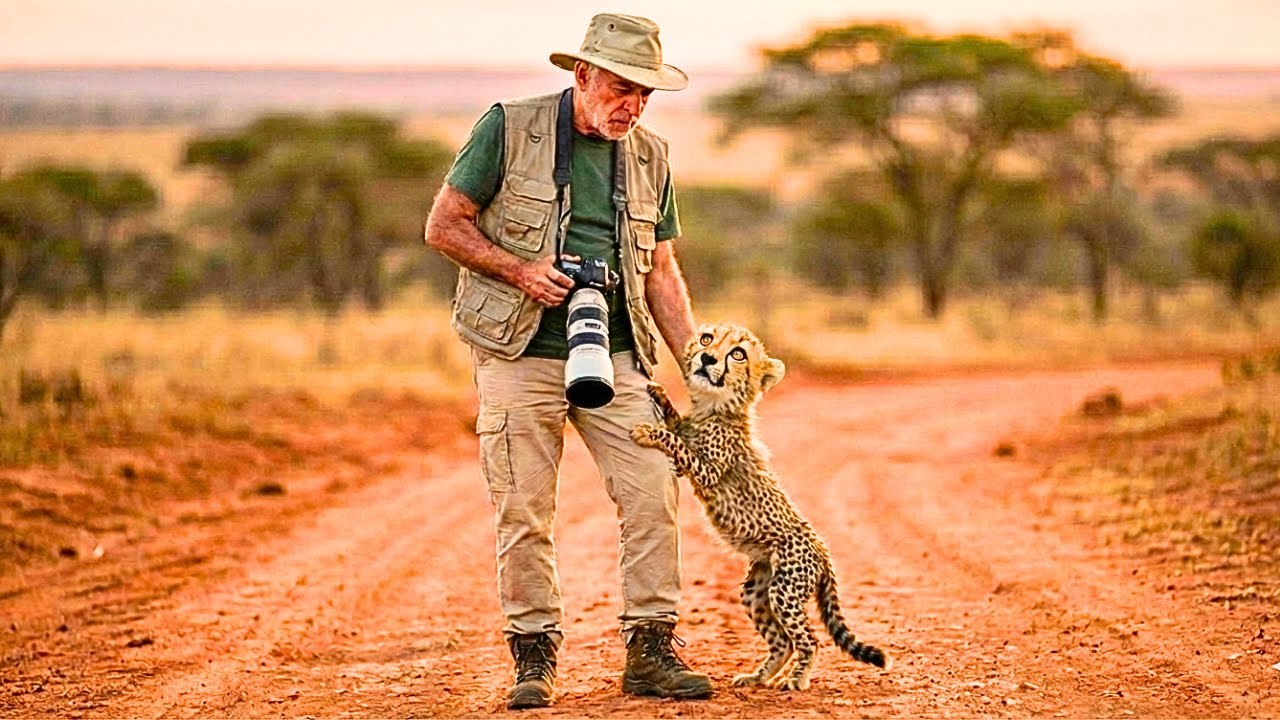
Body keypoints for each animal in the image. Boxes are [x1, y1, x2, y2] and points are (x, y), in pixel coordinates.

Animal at [631, 323, 888, 691]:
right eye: (707, 338)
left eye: (738, 354)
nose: (707, 358)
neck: (714, 408)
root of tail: (823, 551)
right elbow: (678, 425)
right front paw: (660, 394)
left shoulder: (707, 471)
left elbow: (678, 442)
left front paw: (649, 431)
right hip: (757, 589)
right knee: (782, 642)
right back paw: (757, 677)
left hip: (785, 588)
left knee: (808, 640)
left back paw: (795, 680)